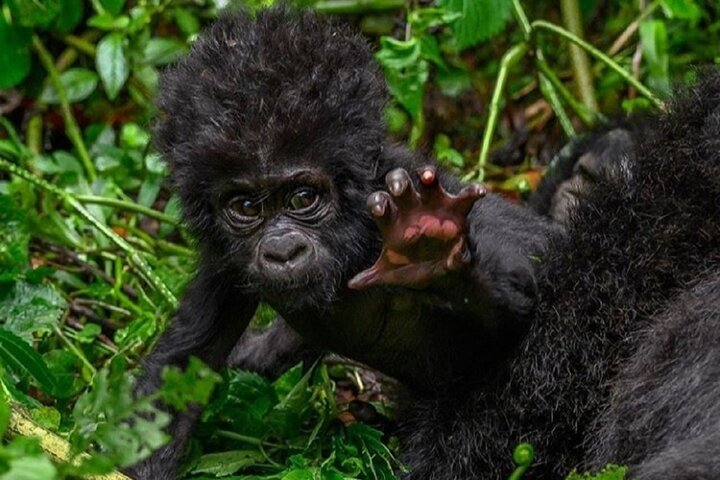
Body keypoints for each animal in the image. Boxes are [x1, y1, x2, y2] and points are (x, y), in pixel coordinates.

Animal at [129, 6, 720, 480]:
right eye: (246, 207)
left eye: (302, 198)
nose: (281, 251)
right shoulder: (223, 259)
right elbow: (182, 367)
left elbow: (525, 305)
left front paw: (432, 257)